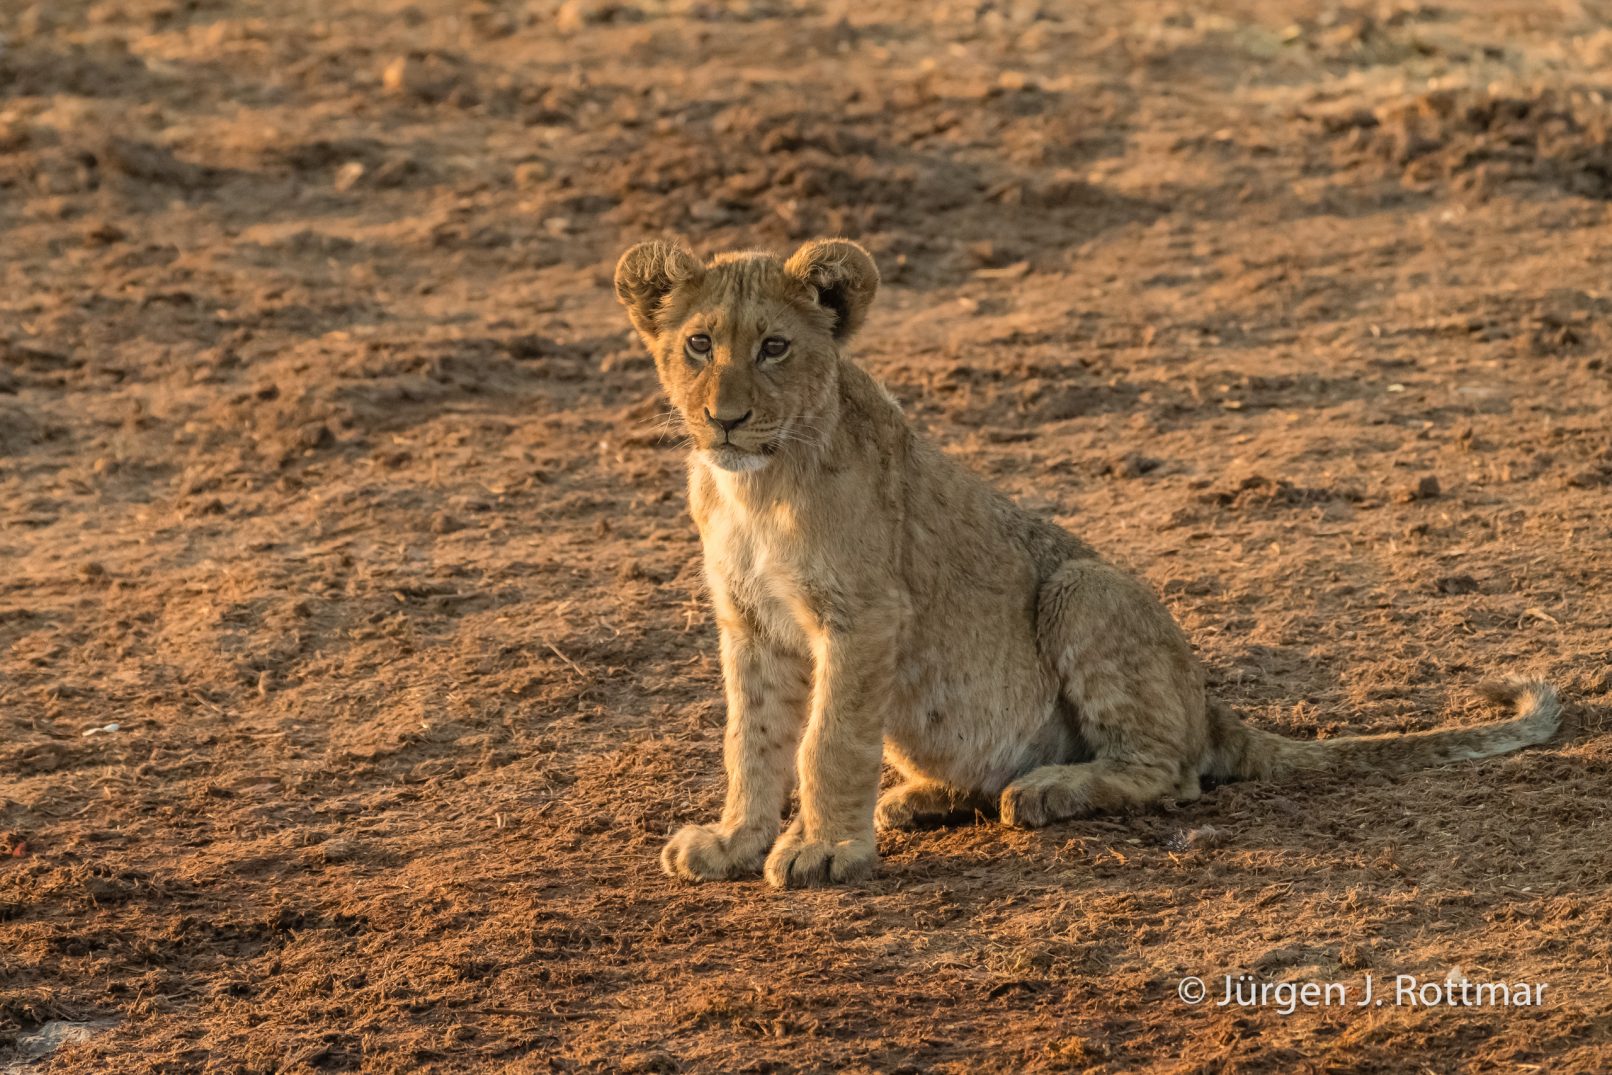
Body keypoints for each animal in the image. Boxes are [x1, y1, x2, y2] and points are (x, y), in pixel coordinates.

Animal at [614, 236, 1561, 889]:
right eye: (698, 344)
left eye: (774, 346)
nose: (725, 418)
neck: (756, 484)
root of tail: (1211, 708)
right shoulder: (750, 624)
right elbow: (753, 738)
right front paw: (734, 841)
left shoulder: (864, 616)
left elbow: (829, 740)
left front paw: (822, 849)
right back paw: (924, 797)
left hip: (1086, 587)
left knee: (1172, 774)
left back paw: (1043, 790)